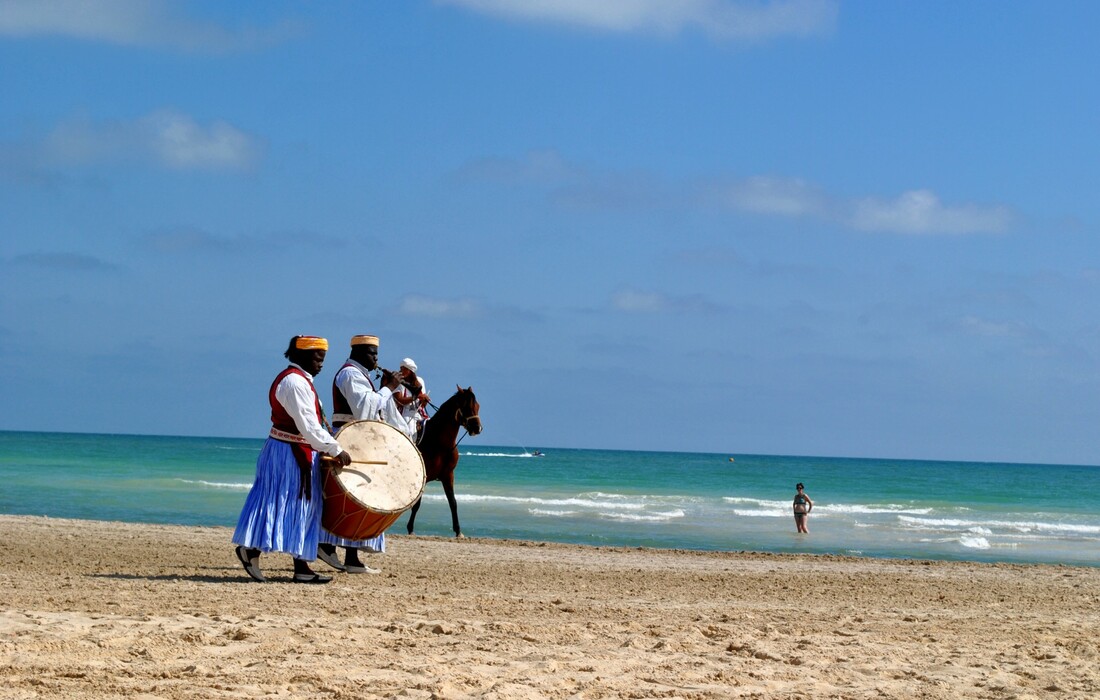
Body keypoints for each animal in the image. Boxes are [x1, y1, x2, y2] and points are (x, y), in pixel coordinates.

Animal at [407, 385, 479, 539]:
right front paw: (410, 528)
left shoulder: (448, 476)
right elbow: (417, 504)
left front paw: (458, 531)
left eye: (477, 406)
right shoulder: (424, 476)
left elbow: (453, 502)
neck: (438, 442)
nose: (478, 428)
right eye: (467, 407)